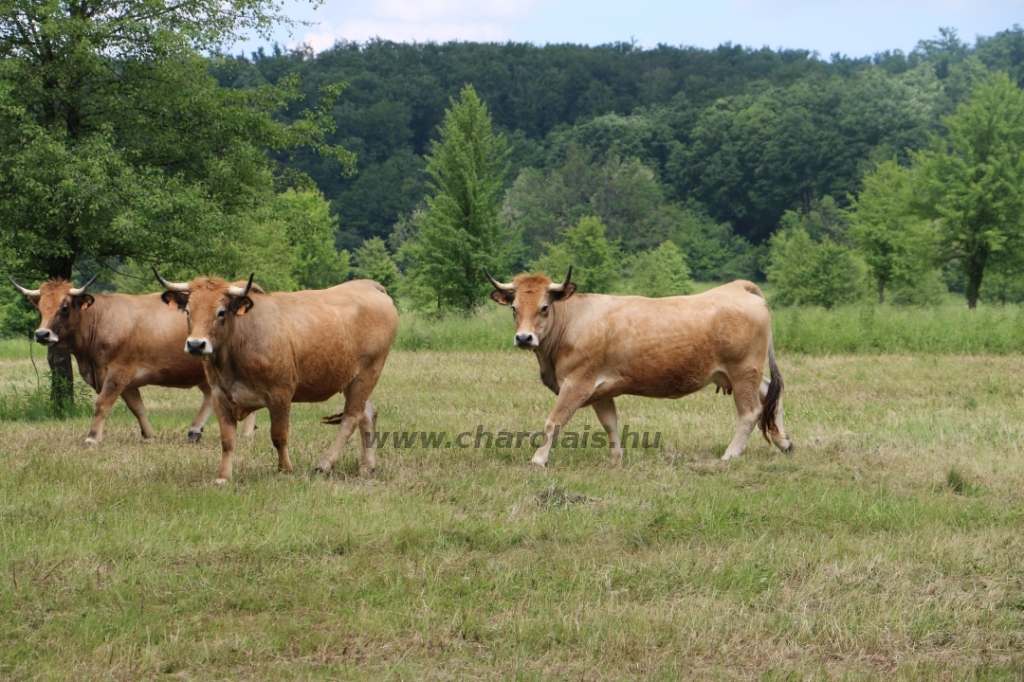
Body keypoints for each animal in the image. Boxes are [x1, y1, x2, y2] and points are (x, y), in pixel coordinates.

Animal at [10, 274, 256, 444]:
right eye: (40, 308)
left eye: (64, 307)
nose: (42, 334)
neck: (99, 320)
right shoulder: (125, 380)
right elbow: (137, 408)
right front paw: (149, 435)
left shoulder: (118, 372)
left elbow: (102, 404)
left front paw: (92, 437)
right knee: (209, 397)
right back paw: (195, 430)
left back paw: (245, 434)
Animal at [153, 270, 397, 483]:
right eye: (188, 311)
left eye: (221, 312)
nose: (196, 344)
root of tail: (367, 285)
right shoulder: (219, 396)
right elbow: (227, 440)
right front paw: (223, 477)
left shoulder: (280, 394)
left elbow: (279, 436)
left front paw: (285, 470)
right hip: (351, 378)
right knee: (368, 414)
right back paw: (367, 466)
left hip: (367, 372)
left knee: (351, 418)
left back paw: (324, 464)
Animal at [485, 268, 790, 464]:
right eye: (514, 307)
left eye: (544, 307)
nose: (524, 338)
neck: (572, 321)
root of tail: (737, 286)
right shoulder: (600, 390)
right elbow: (610, 424)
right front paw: (616, 459)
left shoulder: (577, 383)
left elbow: (554, 421)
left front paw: (538, 459)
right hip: (744, 373)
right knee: (771, 394)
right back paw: (784, 442)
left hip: (743, 371)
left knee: (750, 412)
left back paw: (730, 454)